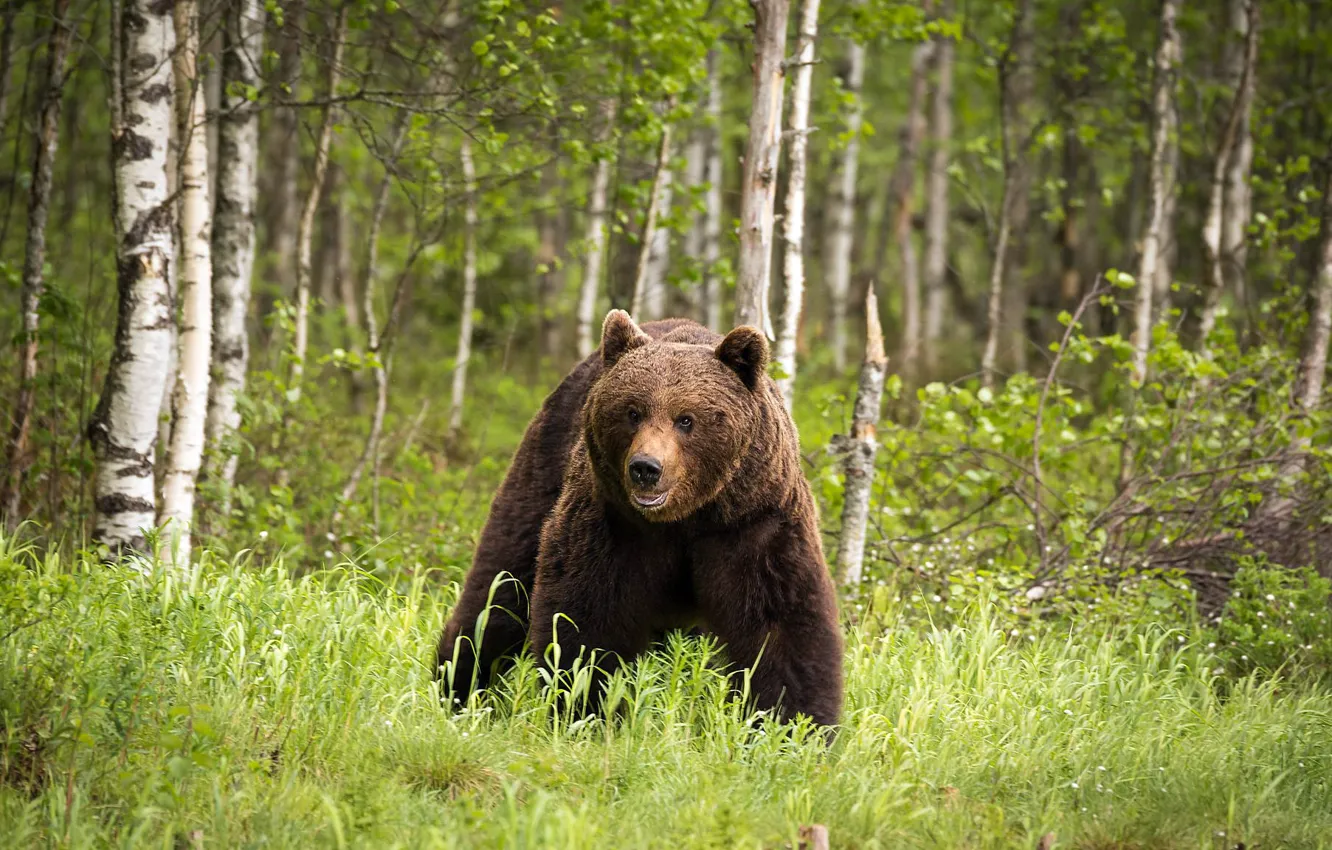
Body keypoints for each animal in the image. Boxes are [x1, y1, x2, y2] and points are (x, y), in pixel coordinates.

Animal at [436, 311, 841, 724]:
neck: (686, 518)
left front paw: (795, 722)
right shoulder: (613, 524)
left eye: (686, 419)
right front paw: (587, 707)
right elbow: (587, 618)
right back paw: (458, 685)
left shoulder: (752, 522)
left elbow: (782, 625)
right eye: (632, 412)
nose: (646, 468)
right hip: (542, 469)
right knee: (499, 587)